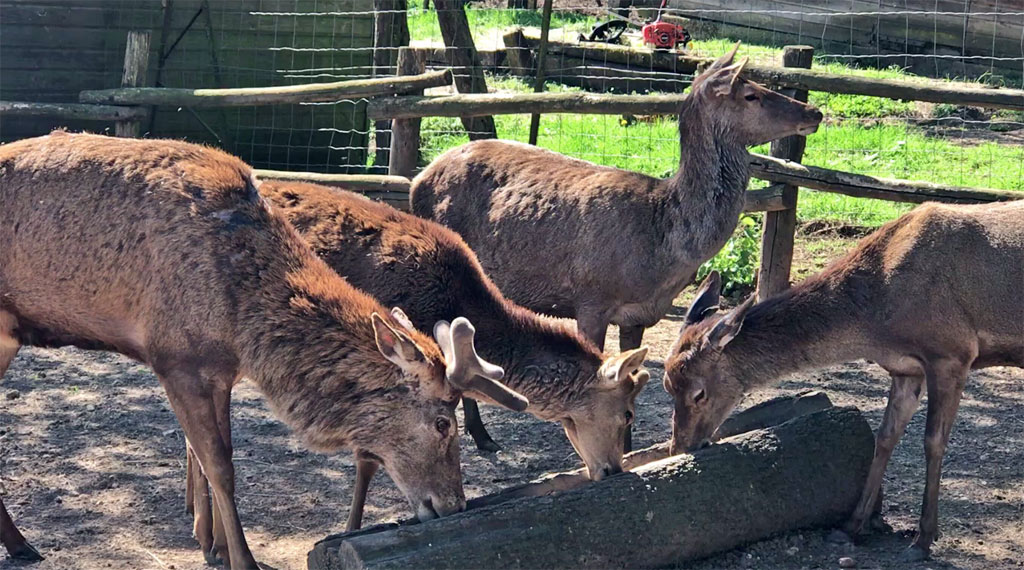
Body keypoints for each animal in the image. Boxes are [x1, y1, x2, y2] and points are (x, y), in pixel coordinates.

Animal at [0, 132, 526, 569]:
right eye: (442, 422)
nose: (453, 504)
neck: (242, 320)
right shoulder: (176, 359)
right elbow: (220, 468)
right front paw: (242, 559)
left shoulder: (218, 372)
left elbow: (215, 459)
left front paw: (213, 545)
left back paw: (21, 544)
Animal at [410, 43, 822, 357]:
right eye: (751, 94)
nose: (814, 111)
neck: (665, 248)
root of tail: (417, 180)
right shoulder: (590, 299)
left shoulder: (640, 316)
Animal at [663, 200, 1024, 562]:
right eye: (668, 386)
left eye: (698, 393)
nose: (679, 446)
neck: (875, 324)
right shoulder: (906, 370)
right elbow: (885, 437)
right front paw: (851, 527)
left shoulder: (952, 353)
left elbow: (933, 443)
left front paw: (923, 539)